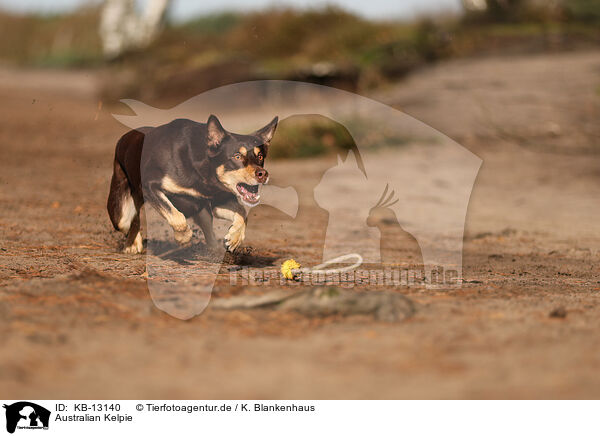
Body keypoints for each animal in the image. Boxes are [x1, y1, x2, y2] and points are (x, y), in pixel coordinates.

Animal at [107, 114, 276, 254]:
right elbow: (176, 216)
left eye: (260, 156)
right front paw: (183, 237)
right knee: (129, 222)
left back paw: (214, 250)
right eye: (237, 156)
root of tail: (125, 138)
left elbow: (242, 213)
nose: (263, 174)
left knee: (208, 229)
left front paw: (234, 238)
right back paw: (132, 245)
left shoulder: (219, 201)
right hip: (121, 212)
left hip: (202, 211)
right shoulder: (150, 186)